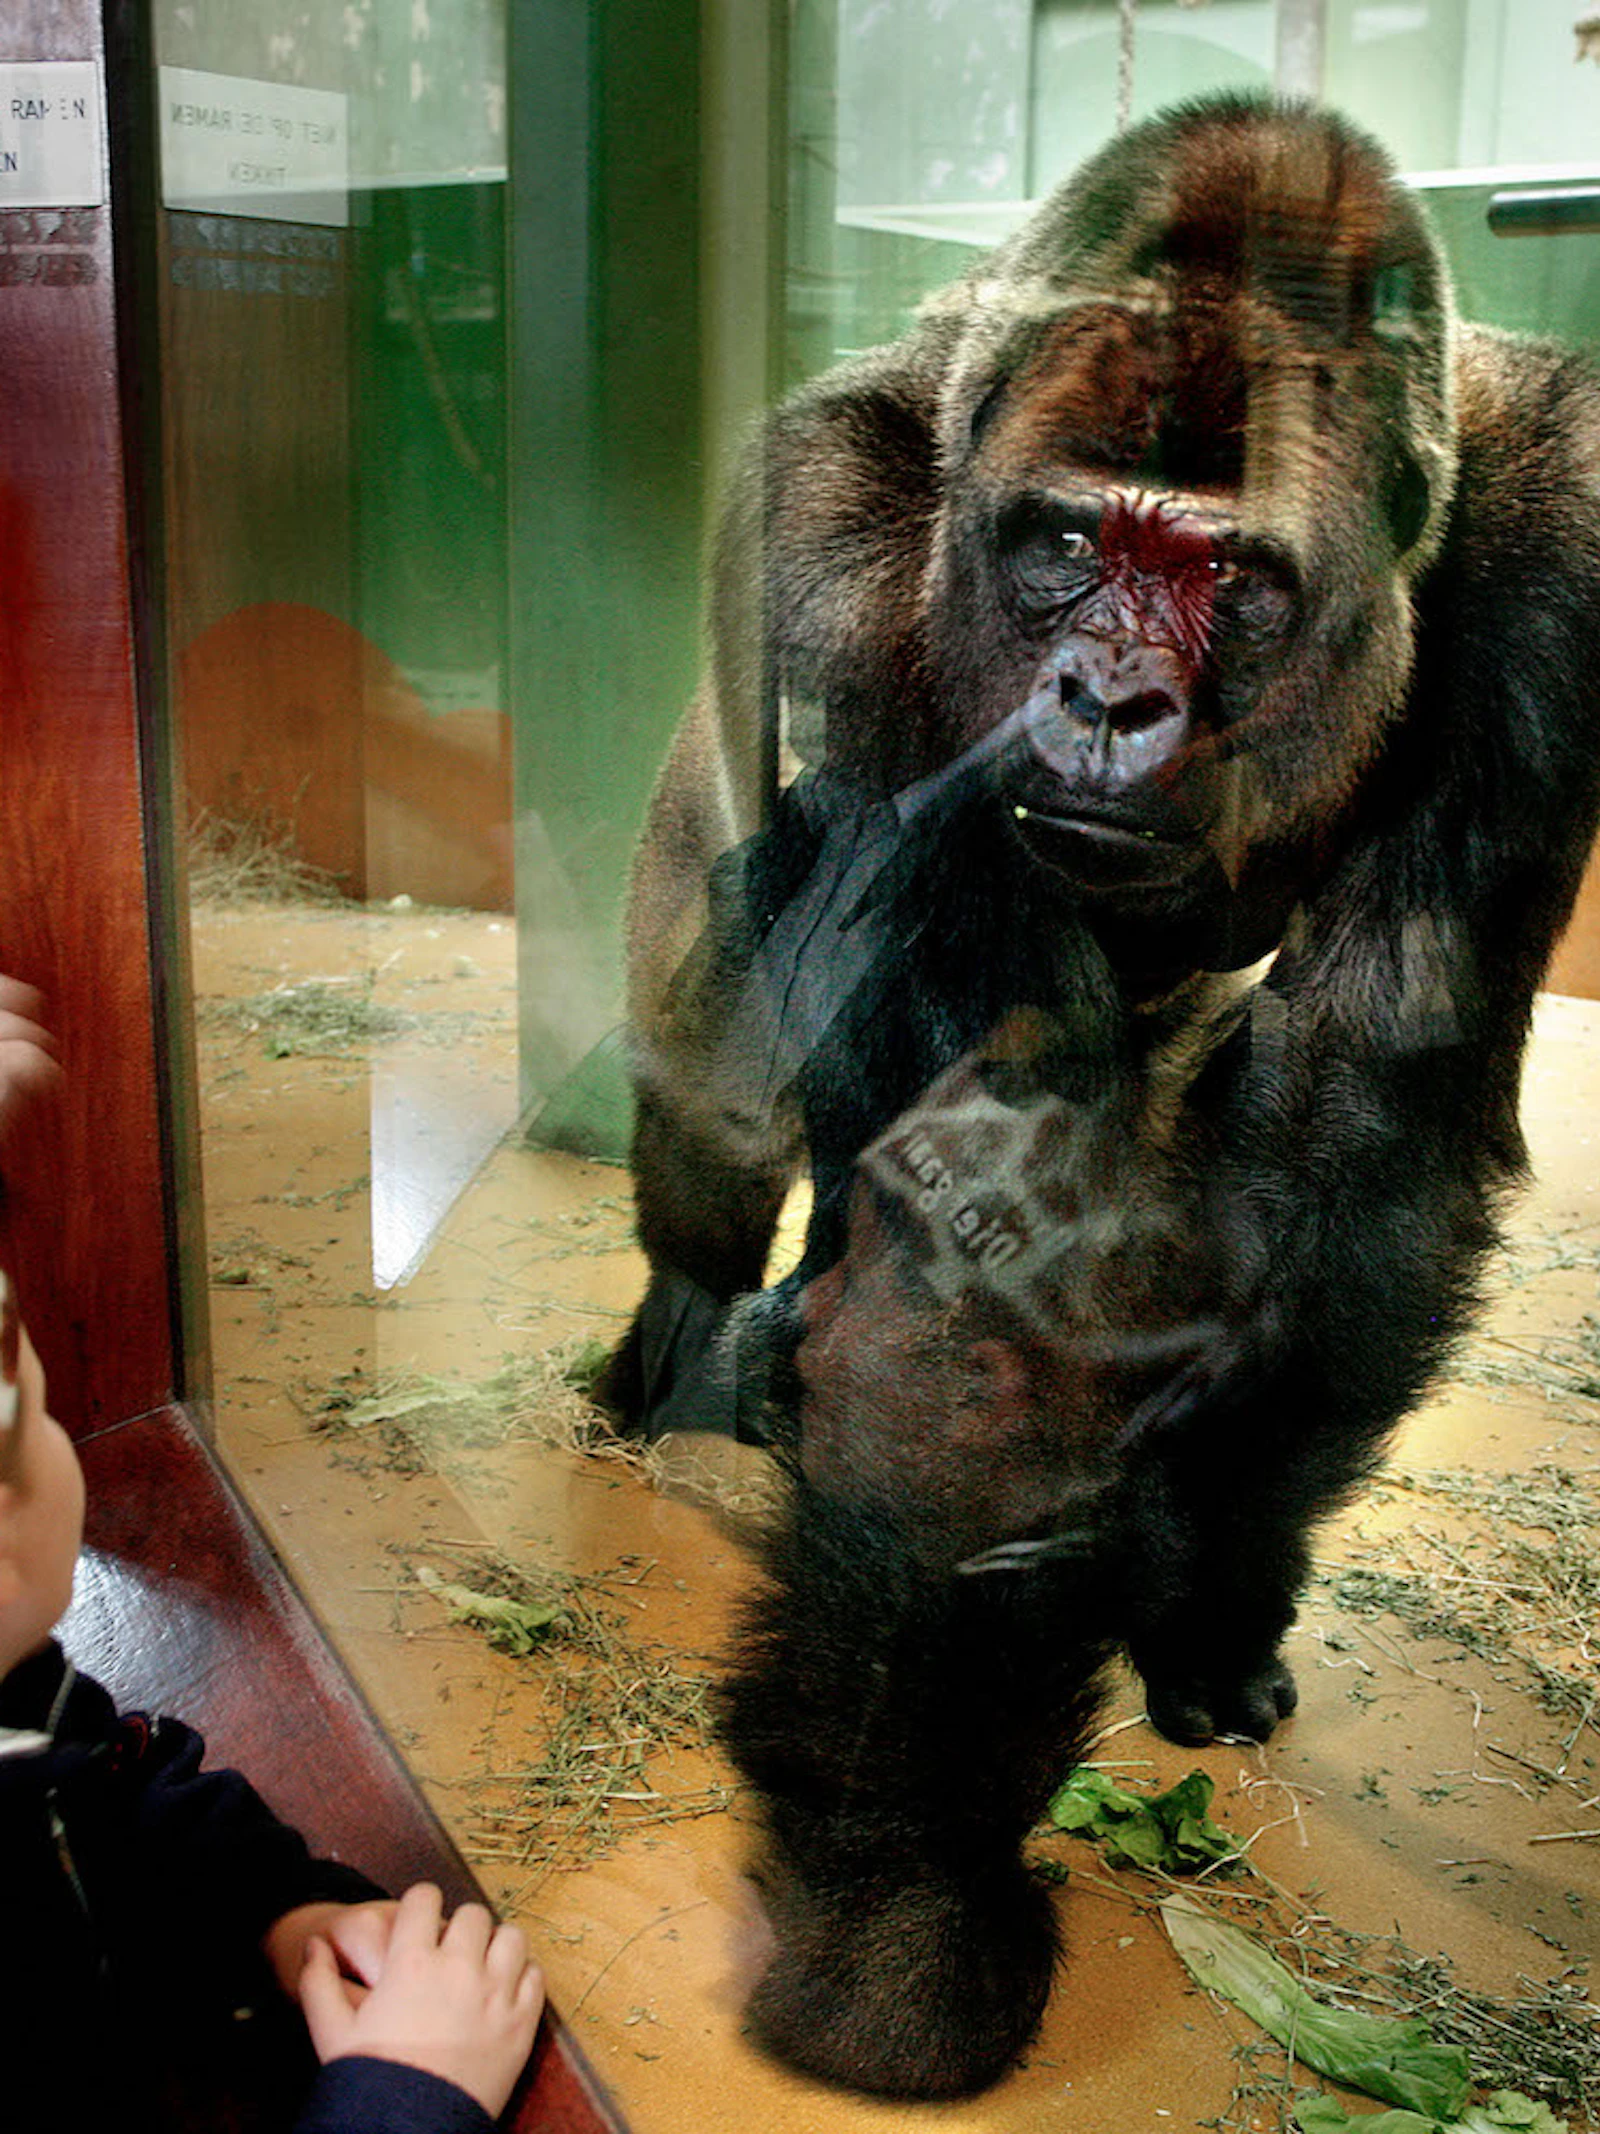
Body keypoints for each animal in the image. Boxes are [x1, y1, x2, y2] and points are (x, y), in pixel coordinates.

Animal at [598, 93, 1600, 2093]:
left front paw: (1210, 1591)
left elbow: (1362, 1130)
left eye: (1233, 577)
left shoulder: (1561, 568)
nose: (1110, 698)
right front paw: (909, 1898)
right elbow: (986, 1229)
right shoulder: (842, 551)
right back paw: (701, 1324)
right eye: (1070, 542)